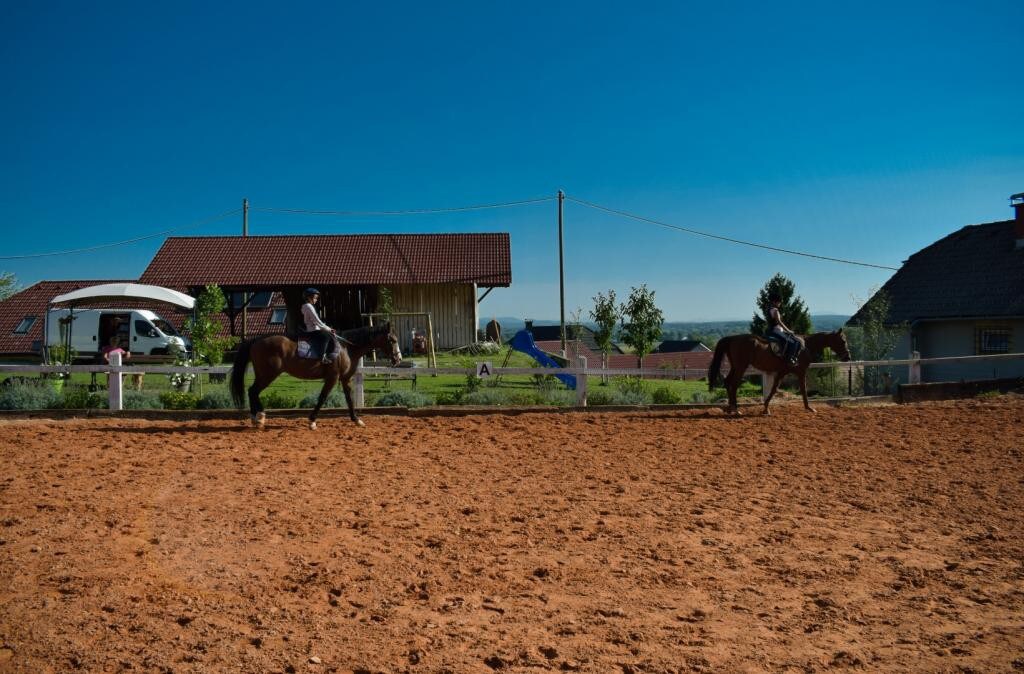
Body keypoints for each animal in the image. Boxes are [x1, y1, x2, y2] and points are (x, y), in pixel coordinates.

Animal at [230, 321, 401, 428]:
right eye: (392, 340)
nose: (398, 359)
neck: (346, 348)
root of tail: (256, 340)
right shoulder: (333, 377)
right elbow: (323, 397)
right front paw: (312, 421)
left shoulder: (345, 378)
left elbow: (349, 399)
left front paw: (357, 420)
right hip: (268, 374)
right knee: (253, 391)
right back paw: (259, 418)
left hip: (263, 374)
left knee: (252, 391)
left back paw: (256, 418)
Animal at [708, 327, 851, 411]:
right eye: (843, 341)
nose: (848, 357)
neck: (806, 346)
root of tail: (733, 338)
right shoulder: (801, 371)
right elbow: (803, 389)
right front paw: (809, 407)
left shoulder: (783, 371)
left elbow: (774, 388)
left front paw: (766, 407)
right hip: (741, 367)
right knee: (734, 384)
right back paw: (736, 409)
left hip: (735, 366)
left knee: (727, 382)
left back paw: (731, 407)